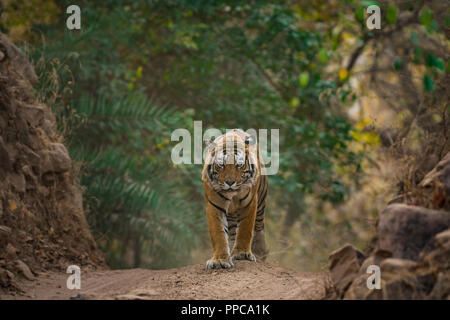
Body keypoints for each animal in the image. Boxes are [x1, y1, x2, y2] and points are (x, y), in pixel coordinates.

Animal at [202, 129, 268, 268]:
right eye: (221, 164)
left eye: (239, 165)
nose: (230, 182)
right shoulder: (214, 206)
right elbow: (218, 233)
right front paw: (220, 260)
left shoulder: (249, 204)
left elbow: (245, 229)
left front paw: (242, 254)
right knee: (232, 232)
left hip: (261, 201)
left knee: (259, 226)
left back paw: (260, 251)